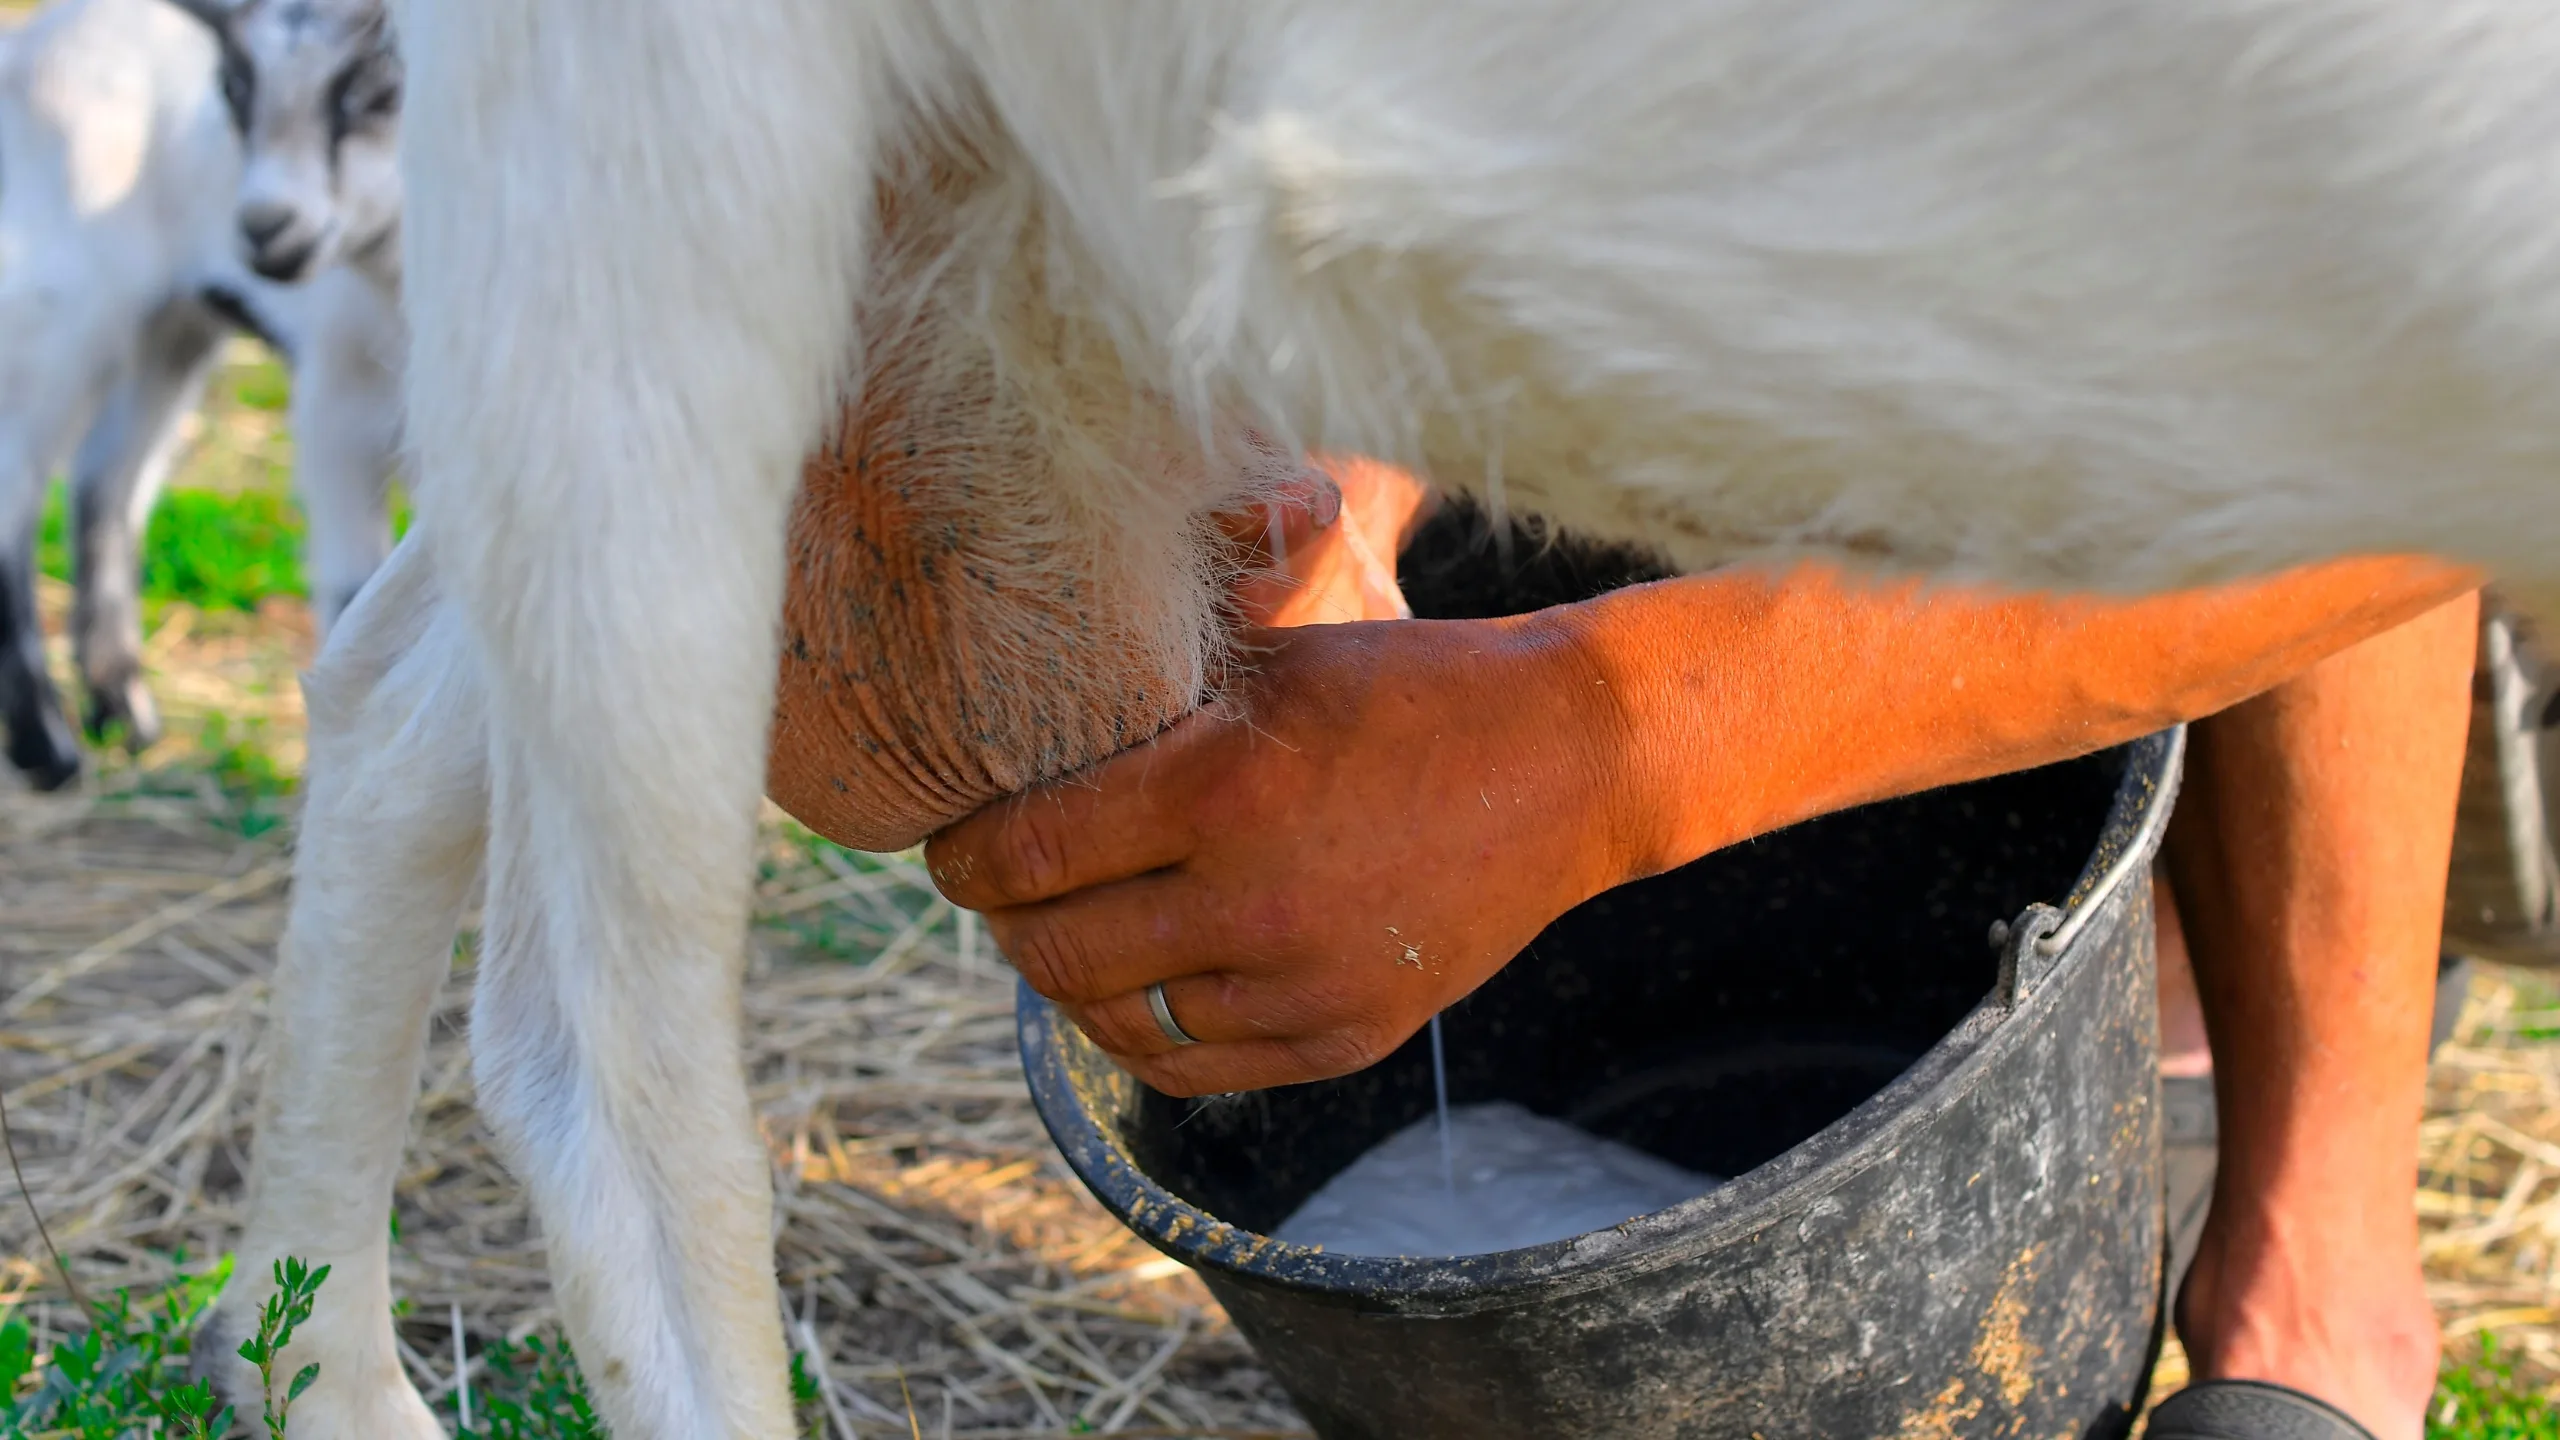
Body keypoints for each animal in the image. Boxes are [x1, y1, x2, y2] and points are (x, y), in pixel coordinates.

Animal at [0, 0, 399, 790]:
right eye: (234, 91)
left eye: (376, 91)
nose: (266, 227)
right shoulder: (340, 405)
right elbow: (354, 593)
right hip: (53, 305)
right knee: (16, 496)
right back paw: (47, 749)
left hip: (170, 327)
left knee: (107, 484)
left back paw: (124, 715)